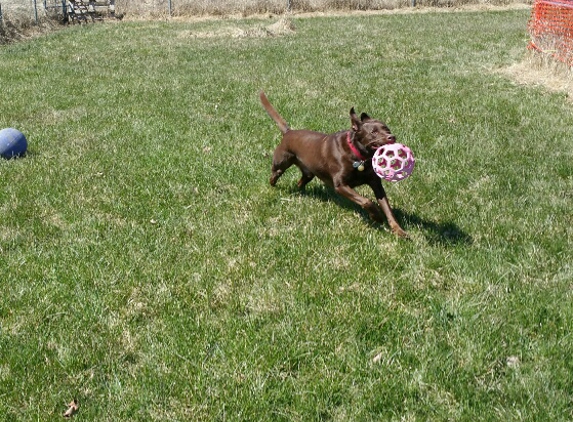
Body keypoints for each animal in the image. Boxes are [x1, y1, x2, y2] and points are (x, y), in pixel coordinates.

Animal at [260, 91, 406, 237]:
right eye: (373, 132)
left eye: (387, 129)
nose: (392, 137)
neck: (359, 157)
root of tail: (289, 132)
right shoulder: (340, 185)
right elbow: (366, 201)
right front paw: (377, 216)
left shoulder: (376, 185)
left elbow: (388, 210)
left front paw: (399, 231)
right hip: (281, 161)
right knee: (275, 174)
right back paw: (273, 184)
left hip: (308, 172)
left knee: (301, 181)